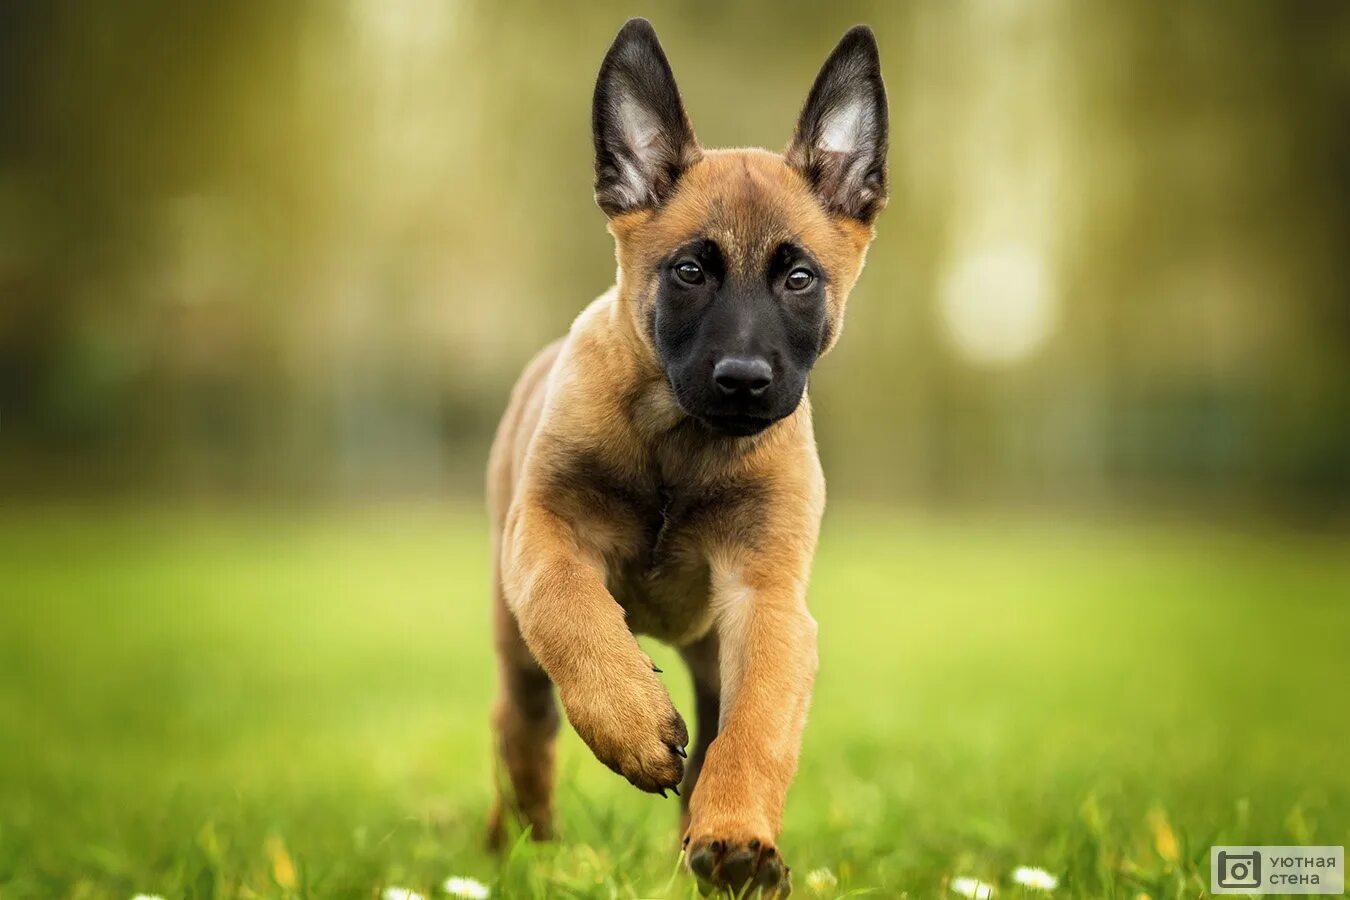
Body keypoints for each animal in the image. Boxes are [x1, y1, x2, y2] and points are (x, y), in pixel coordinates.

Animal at [486, 17, 885, 895]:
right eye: (691, 271)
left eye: (799, 278)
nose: (743, 381)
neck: (681, 446)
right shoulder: (547, 536)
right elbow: (571, 611)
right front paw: (629, 723)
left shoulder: (767, 602)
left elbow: (755, 729)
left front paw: (737, 835)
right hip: (514, 644)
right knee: (521, 732)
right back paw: (521, 849)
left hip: (710, 654)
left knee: (710, 734)